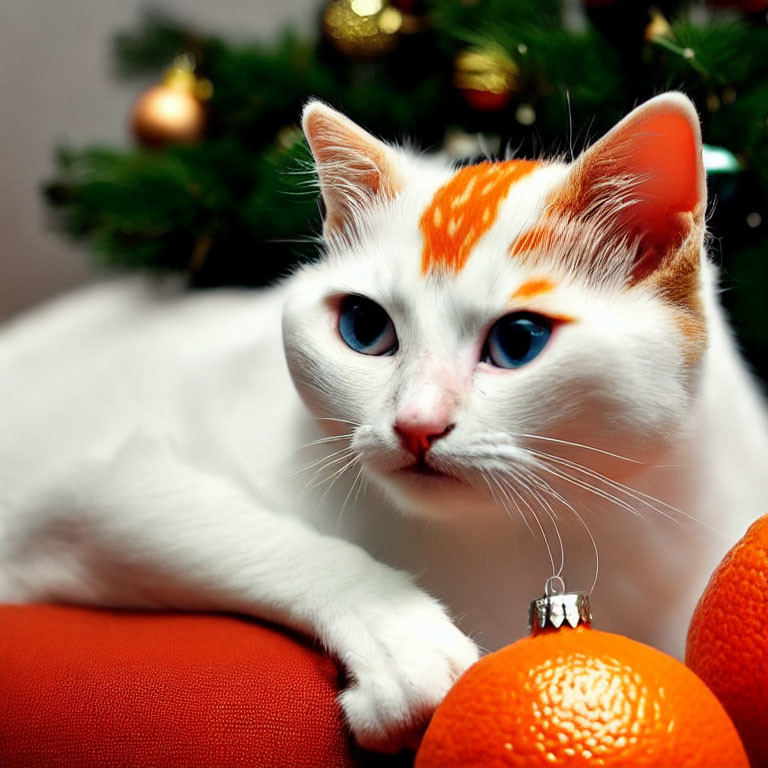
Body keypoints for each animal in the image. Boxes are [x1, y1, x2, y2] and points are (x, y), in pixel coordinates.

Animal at [1, 93, 768, 752]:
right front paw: (403, 641)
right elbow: (250, 534)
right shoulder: (91, 492)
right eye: (364, 328)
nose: (415, 424)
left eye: (519, 341)